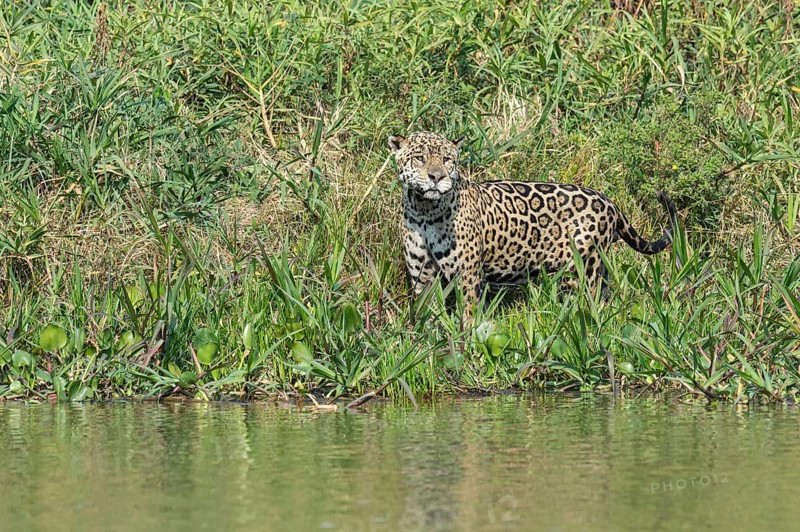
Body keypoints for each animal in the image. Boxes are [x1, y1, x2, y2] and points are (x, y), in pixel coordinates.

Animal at [388, 131, 678, 316]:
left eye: (447, 160)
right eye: (419, 158)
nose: (437, 177)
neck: (425, 211)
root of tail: (609, 202)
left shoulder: (468, 276)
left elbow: (468, 316)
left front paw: (466, 344)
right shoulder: (422, 276)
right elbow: (427, 315)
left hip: (585, 269)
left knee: (591, 303)